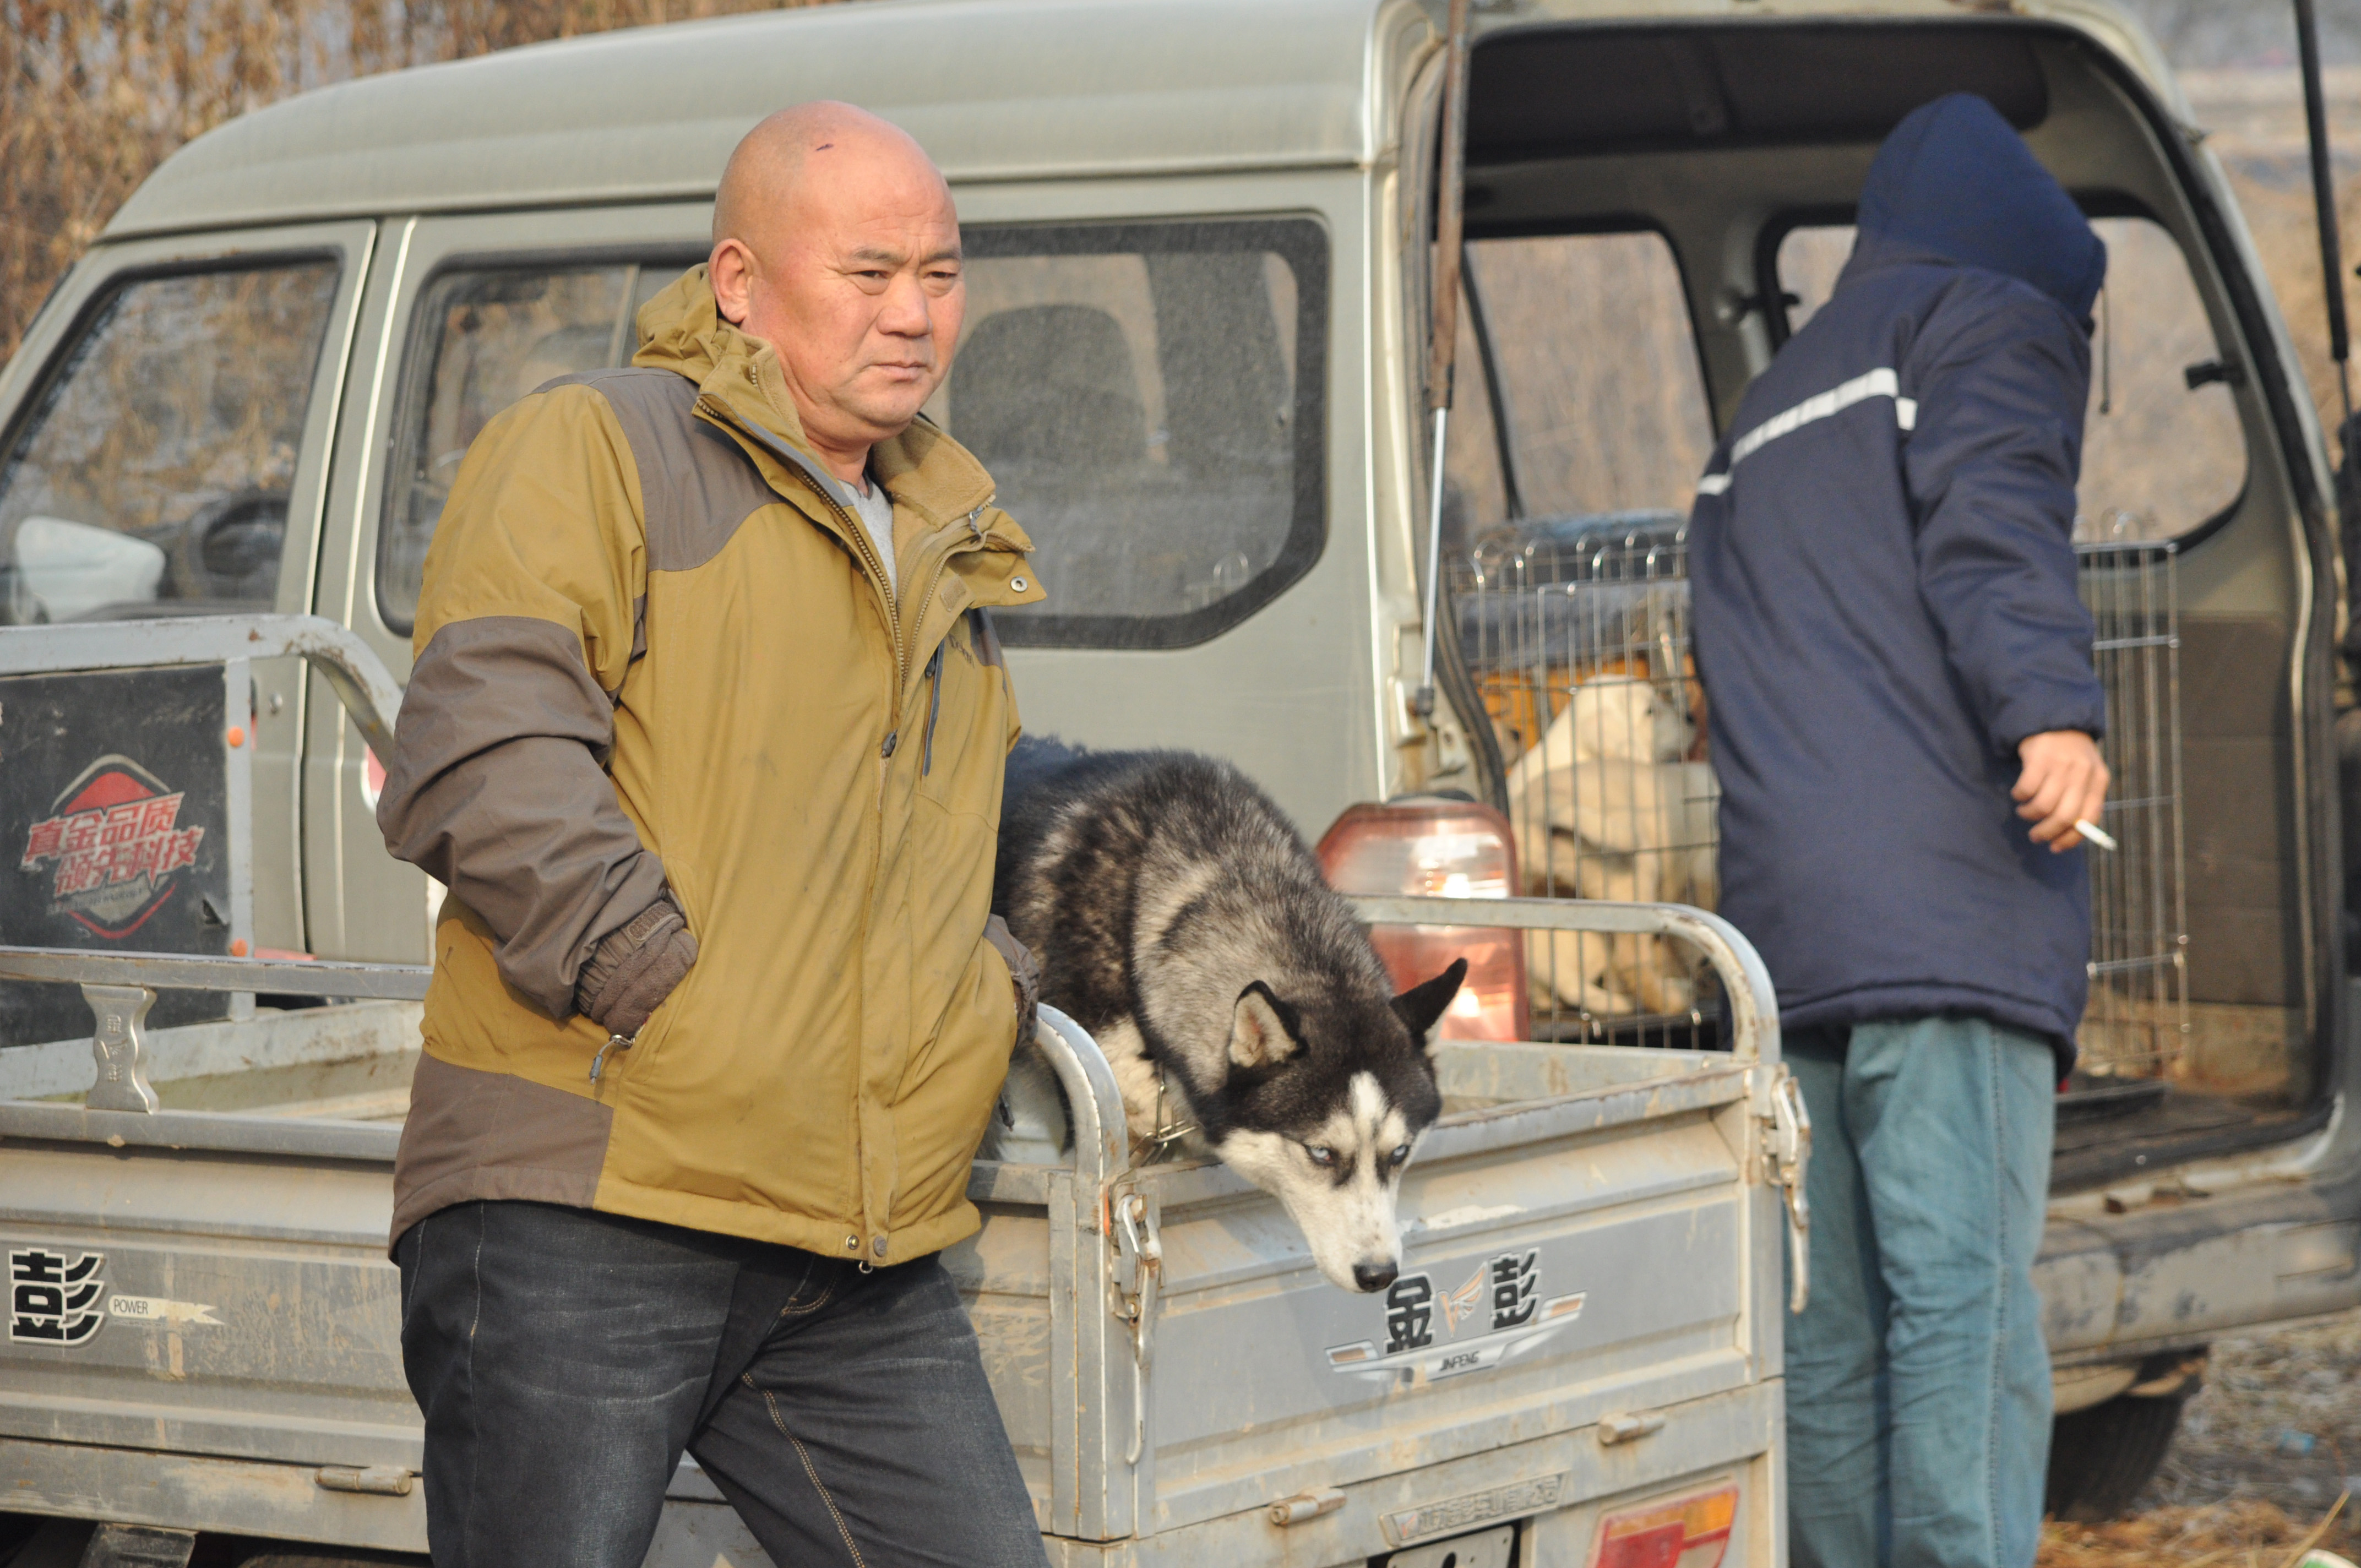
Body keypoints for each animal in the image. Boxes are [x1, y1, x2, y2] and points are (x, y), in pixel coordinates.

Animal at [1511, 675, 1718, 1015]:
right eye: (1650, 711)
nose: (1691, 718)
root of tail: (1542, 806)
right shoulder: (1704, 869)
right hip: (1634, 880)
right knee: (1629, 962)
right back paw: (1669, 999)